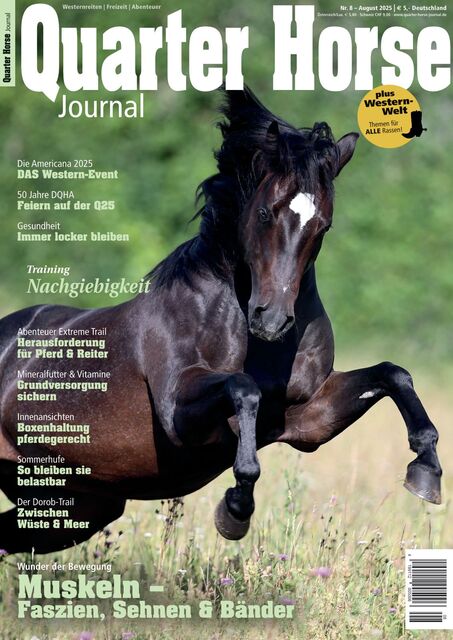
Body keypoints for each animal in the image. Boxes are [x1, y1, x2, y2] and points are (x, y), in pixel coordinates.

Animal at [0, 87, 442, 553]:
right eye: (265, 213)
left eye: (323, 225)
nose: (271, 319)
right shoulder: (179, 414)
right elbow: (244, 390)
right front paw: (235, 509)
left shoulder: (309, 421)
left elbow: (393, 373)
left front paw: (426, 471)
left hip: (77, 506)